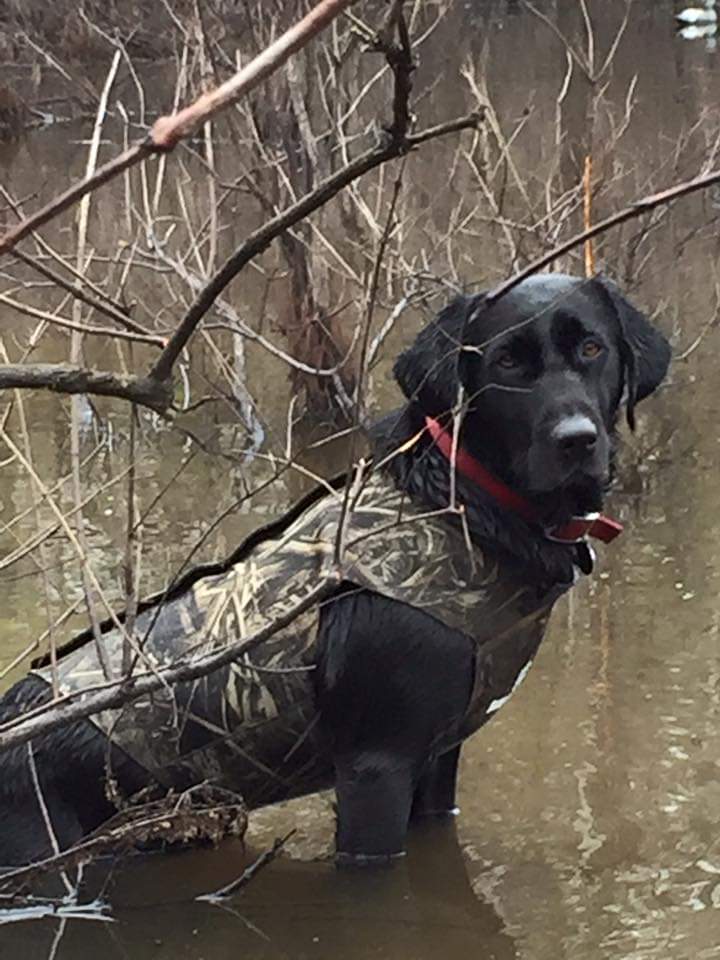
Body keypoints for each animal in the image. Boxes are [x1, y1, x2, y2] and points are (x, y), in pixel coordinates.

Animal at [0, 272, 668, 872]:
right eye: (506, 361)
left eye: (592, 348)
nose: (577, 440)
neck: (461, 502)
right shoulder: (377, 766)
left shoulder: (439, 758)